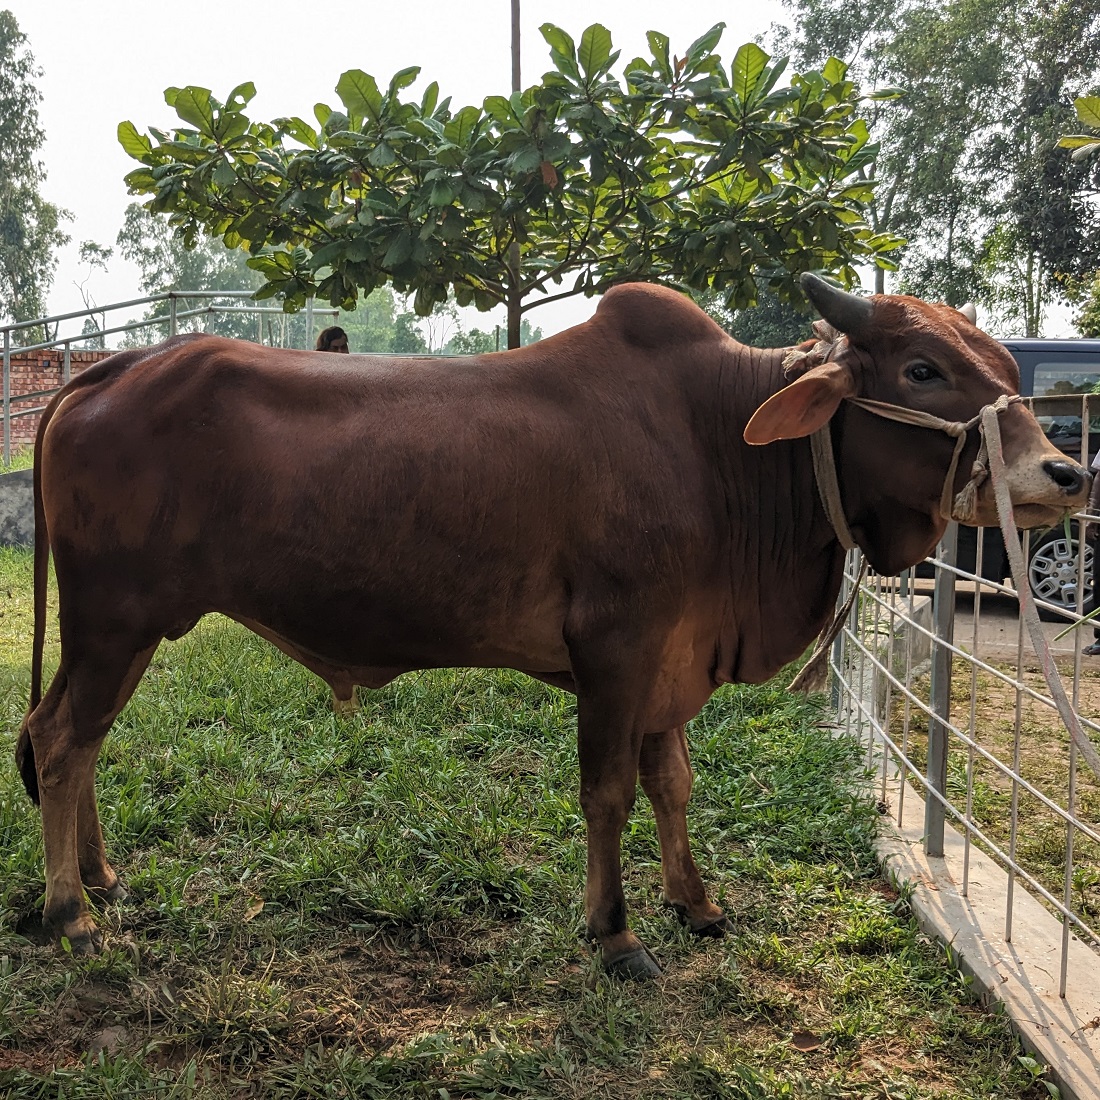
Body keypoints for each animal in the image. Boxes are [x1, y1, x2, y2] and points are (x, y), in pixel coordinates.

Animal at [12, 272, 1086, 972]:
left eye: (1000, 362)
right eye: (920, 369)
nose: (1065, 473)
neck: (720, 444)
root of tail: (110, 370)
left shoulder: (673, 661)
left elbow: (672, 783)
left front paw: (695, 902)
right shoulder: (618, 649)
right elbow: (608, 792)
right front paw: (614, 933)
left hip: (122, 631)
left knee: (71, 737)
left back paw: (100, 875)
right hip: (115, 622)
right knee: (61, 739)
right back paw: (68, 909)